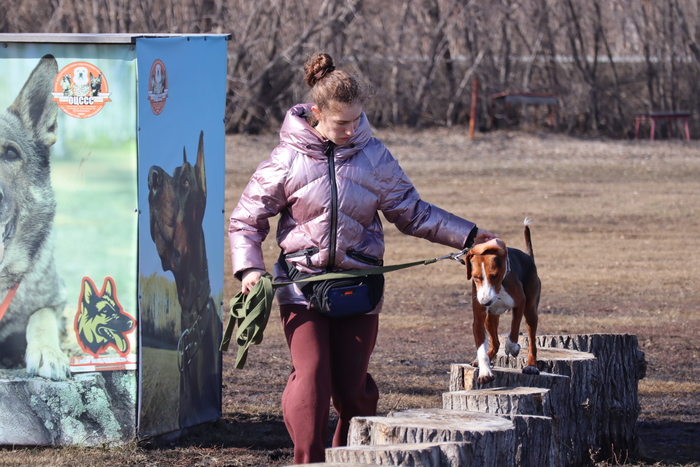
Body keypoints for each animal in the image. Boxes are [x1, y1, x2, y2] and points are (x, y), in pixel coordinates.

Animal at [466, 220, 541, 384]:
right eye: (476, 277)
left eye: (494, 276)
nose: (485, 302)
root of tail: (528, 257)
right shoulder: (479, 319)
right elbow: (481, 348)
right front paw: (484, 371)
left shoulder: (520, 303)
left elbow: (513, 332)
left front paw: (512, 348)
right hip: (490, 318)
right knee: (495, 342)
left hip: (530, 310)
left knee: (532, 341)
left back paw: (531, 365)